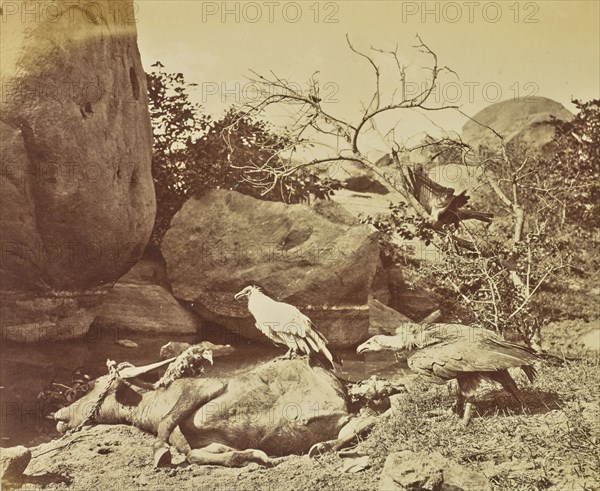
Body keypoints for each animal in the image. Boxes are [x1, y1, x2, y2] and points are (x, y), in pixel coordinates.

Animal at [54, 358, 352, 468]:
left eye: (90, 385)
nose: (58, 414)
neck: (152, 404)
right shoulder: (198, 441)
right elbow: (194, 454)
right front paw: (253, 455)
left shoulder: (204, 388)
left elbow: (167, 423)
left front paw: (159, 454)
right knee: (352, 426)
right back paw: (322, 446)